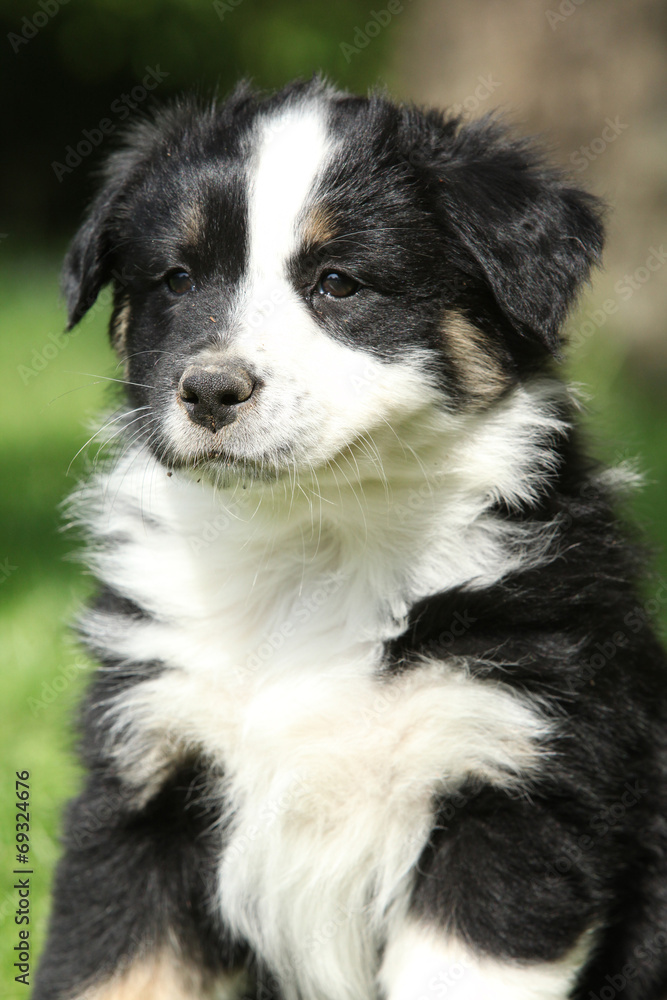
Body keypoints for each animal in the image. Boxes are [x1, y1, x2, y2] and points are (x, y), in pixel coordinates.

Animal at [34, 80, 667, 1000]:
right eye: (177, 279)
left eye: (337, 283)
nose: (209, 391)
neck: (314, 540)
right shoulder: (143, 780)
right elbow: (114, 968)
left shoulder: (516, 782)